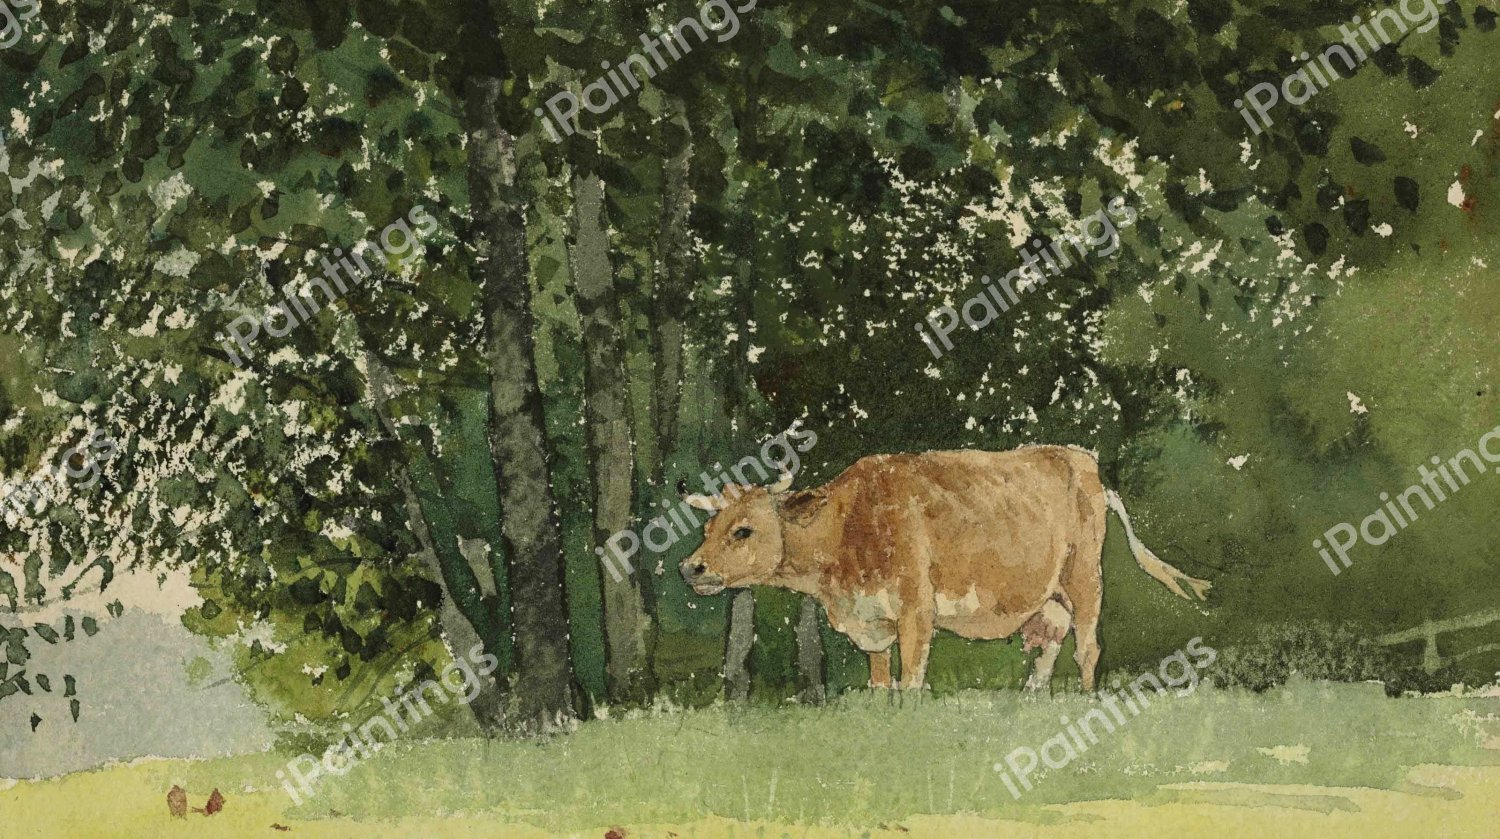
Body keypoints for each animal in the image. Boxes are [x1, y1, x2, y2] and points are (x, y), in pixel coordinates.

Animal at [679, 446, 1210, 692]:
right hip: (1049, 597)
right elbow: (879, 684)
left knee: (1088, 650)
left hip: (1085, 582)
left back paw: (1082, 700)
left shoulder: (917, 610)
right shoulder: (873, 622)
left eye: (743, 530)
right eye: (708, 525)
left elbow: (912, 681)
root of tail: (1081, 460)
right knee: (1047, 651)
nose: (690, 567)